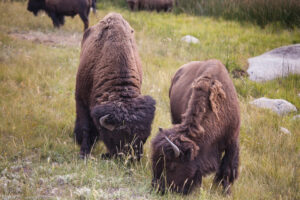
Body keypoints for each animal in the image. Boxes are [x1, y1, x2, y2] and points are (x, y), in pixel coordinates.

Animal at [74, 12, 156, 161]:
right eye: (119, 138)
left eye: (144, 137)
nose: (132, 159)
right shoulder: (80, 98)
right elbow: (85, 127)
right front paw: (84, 152)